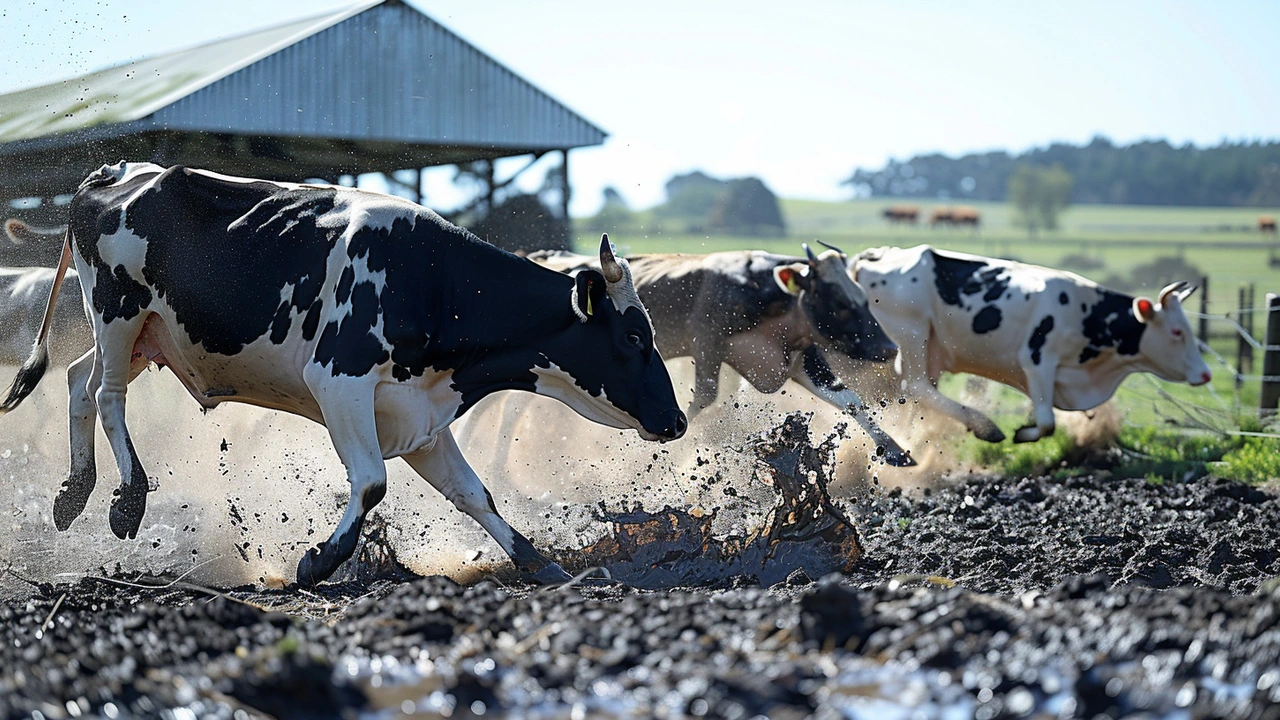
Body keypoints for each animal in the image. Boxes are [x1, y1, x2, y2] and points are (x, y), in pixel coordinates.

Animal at [0, 161, 691, 584]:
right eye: (634, 335)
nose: (677, 420)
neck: (433, 281)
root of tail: (116, 171)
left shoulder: (420, 411)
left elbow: (475, 494)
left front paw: (542, 564)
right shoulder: (339, 382)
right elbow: (372, 482)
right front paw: (319, 563)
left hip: (144, 334)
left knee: (77, 382)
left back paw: (74, 492)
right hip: (118, 310)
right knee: (107, 394)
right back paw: (127, 498)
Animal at [532, 242, 921, 466]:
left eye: (862, 295)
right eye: (839, 302)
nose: (888, 349)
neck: (763, 292)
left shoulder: (799, 356)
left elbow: (848, 398)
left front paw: (896, 451)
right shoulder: (707, 341)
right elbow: (704, 398)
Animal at [849, 243, 1208, 440]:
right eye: (1177, 332)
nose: (1205, 374)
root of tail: (877, 257)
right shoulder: (1036, 361)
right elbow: (1047, 422)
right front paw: (1023, 433)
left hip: (930, 347)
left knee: (916, 395)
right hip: (912, 332)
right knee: (917, 386)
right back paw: (985, 426)